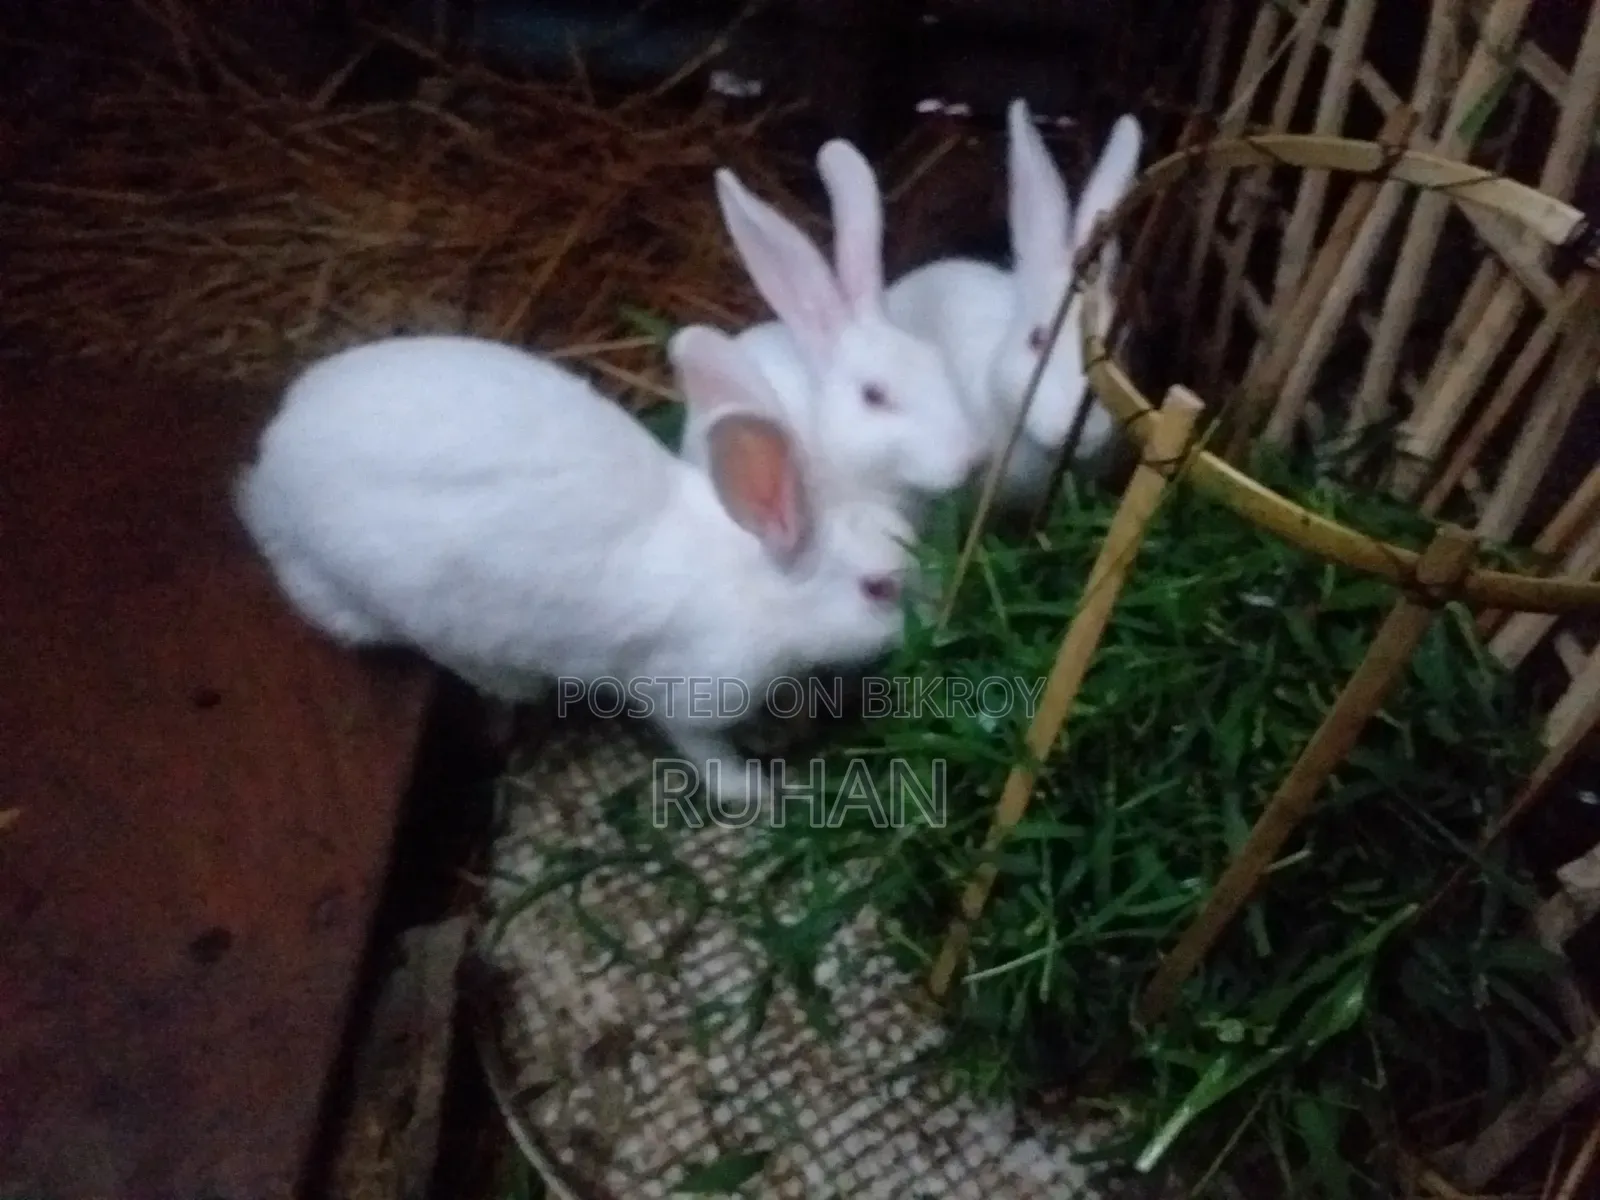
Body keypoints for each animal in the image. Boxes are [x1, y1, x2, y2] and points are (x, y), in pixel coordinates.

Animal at [233, 328, 918, 807]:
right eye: (878, 589)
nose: (929, 622)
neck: (757, 584)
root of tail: (270, 471)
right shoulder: (689, 694)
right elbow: (703, 750)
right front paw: (758, 790)